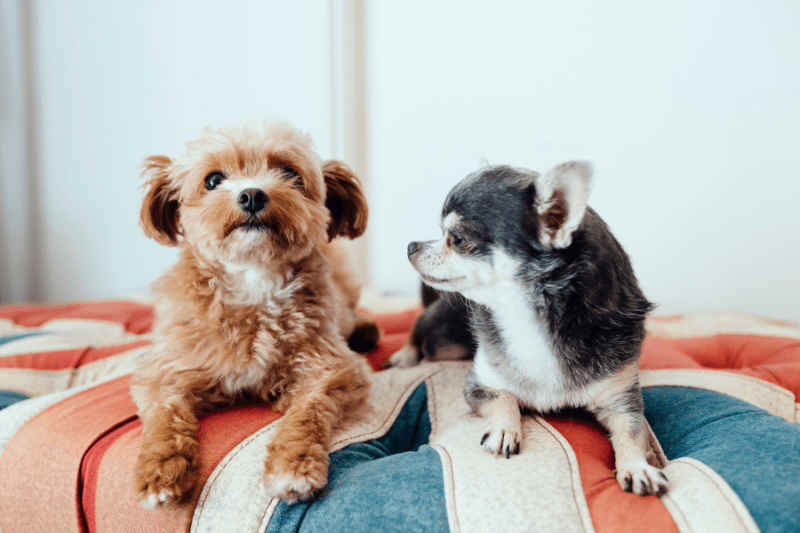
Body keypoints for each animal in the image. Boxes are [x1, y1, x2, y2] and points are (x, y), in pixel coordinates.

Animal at [130, 120, 378, 508]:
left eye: (289, 173)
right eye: (214, 179)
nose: (252, 195)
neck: (253, 281)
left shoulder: (332, 370)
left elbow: (306, 415)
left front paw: (292, 465)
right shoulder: (163, 372)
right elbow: (164, 419)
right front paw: (160, 470)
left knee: (353, 311)